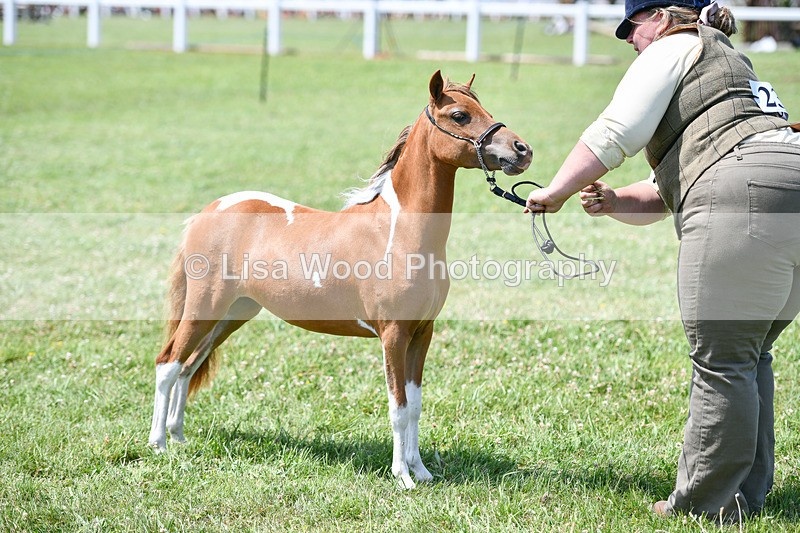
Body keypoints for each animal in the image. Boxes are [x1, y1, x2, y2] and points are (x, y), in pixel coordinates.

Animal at [148, 70, 532, 488]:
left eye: (486, 109)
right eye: (461, 115)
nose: (522, 150)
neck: (399, 233)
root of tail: (209, 211)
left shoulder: (422, 332)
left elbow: (415, 405)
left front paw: (422, 471)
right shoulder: (393, 334)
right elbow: (397, 407)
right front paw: (403, 477)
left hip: (233, 313)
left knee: (189, 365)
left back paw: (178, 436)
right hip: (205, 307)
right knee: (168, 364)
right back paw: (158, 445)